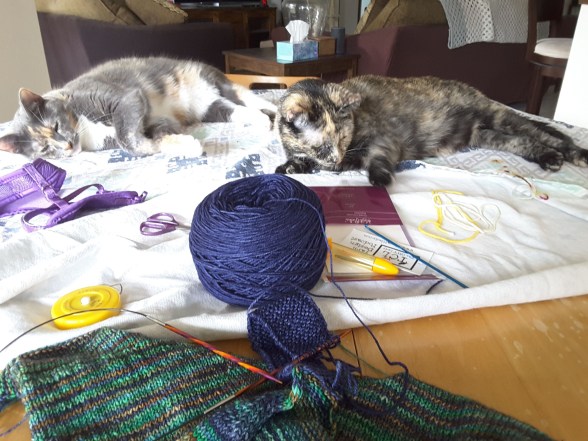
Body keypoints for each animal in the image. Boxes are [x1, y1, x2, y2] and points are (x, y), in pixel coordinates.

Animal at [0, 56, 276, 159]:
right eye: (44, 150)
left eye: (55, 125)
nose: (66, 146)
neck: (84, 127)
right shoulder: (156, 121)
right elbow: (160, 135)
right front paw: (182, 145)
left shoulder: (124, 98)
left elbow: (127, 138)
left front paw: (146, 147)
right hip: (206, 106)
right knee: (230, 108)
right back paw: (262, 119)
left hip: (207, 79)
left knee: (245, 95)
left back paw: (273, 112)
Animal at [274, 75, 588, 187]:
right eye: (322, 145)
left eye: (341, 138)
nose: (336, 158)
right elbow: (299, 162)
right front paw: (289, 167)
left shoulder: (385, 139)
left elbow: (377, 156)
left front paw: (379, 177)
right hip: (487, 135)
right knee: (522, 141)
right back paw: (548, 158)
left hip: (500, 117)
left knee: (543, 134)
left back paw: (570, 155)